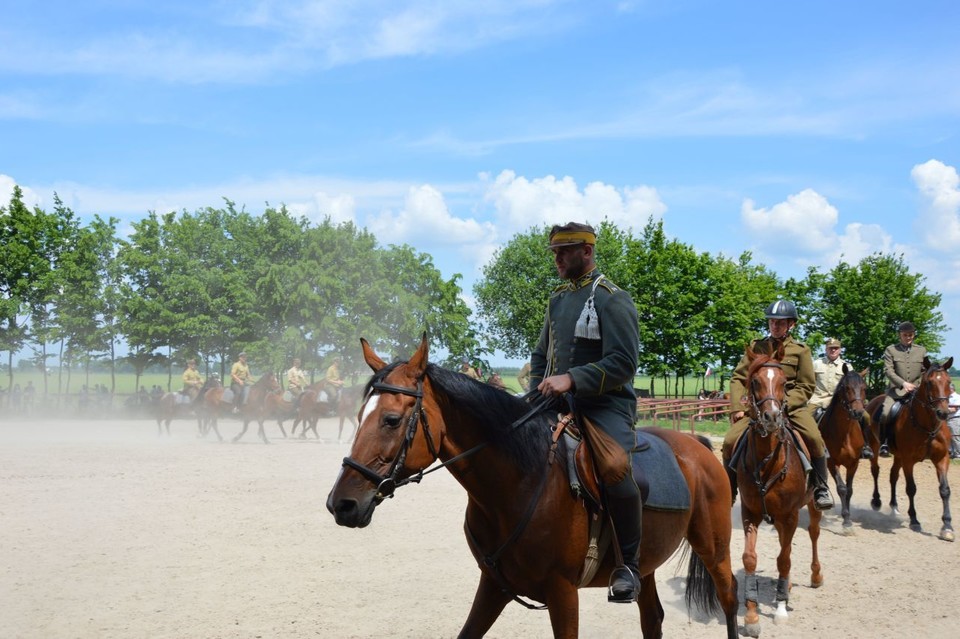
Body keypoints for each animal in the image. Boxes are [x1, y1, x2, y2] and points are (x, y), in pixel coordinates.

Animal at [326, 338, 740, 636]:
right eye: (359, 415)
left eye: (392, 420)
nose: (341, 504)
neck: (517, 485)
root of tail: (697, 446)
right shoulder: (493, 587)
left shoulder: (563, 593)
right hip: (646, 567)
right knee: (652, 618)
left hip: (714, 547)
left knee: (730, 597)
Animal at [732, 348, 820, 636]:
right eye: (755, 382)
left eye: (784, 382)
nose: (771, 417)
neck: (767, 460)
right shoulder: (751, 512)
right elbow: (750, 558)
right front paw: (751, 616)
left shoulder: (790, 515)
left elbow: (784, 559)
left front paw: (780, 609)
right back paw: (788, 585)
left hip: (811, 507)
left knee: (811, 535)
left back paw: (815, 576)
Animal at [816, 364, 872, 528]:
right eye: (846, 387)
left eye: (864, 387)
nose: (857, 412)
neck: (845, 433)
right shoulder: (831, 462)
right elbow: (841, 488)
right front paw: (846, 519)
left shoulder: (853, 463)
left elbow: (849, 489)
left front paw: (847, 517)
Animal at [864, 358, 952, 544]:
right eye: (929, 382)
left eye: (948, 382)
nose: (942, 413)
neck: (928, 426)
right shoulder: (908, 460)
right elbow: (911, 488)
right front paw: (914, 520)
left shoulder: (941, 458)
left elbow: (945, 490)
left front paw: (947, 526)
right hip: (875, 448)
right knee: (876, 471)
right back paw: (876, 501)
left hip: (897, 456)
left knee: (893, 476)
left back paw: (894, 506)